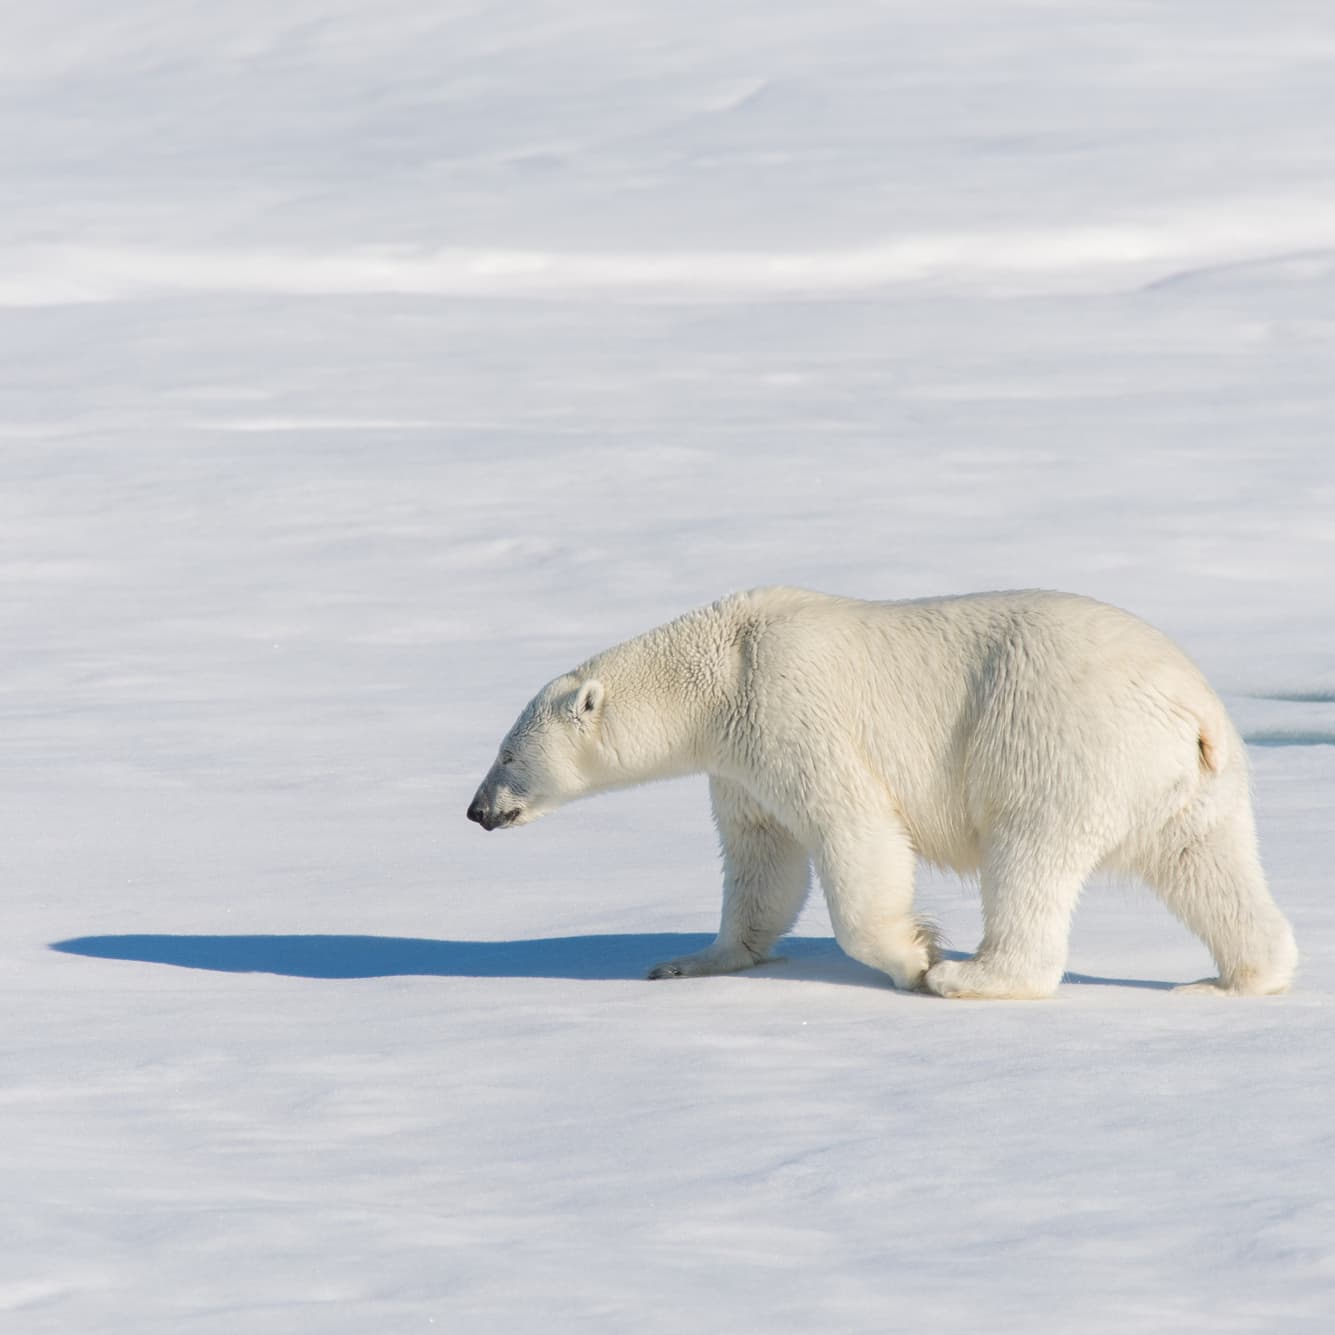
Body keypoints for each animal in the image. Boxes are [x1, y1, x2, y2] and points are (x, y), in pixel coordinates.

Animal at [467, 590, 1292, 998]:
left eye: (506, 752)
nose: (476, 810)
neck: (719, 666)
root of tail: (1190, 709)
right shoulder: (737, 763)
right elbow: (761, 858)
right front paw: (692, 960)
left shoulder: (787, 704)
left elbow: (852, 828)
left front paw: (915, 957)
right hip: (1192, 785)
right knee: (1207, 866)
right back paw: (1232, 979)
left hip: (1055, 737)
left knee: (1029, 851)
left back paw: (972, 976)